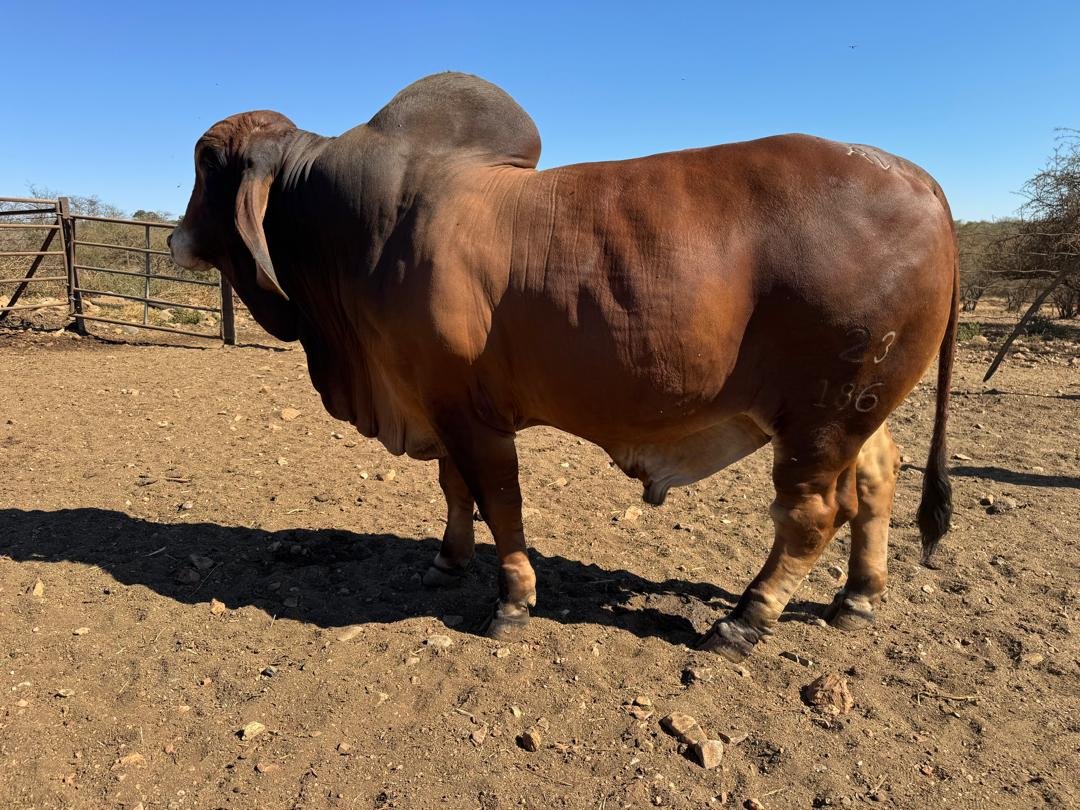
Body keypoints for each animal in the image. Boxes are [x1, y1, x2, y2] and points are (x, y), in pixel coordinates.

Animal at [169, 72, 957, 661]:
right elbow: (455, 490)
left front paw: (513, 602)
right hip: (853, 405)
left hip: (822, 413)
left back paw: (744, 621)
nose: (175, 238)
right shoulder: (435, 399)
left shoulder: (470, 413)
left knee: (810, 514)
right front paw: (447, 560)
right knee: (878, 475)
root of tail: (921, 179)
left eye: (206, 165)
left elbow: (499, 502)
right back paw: (857, 598)